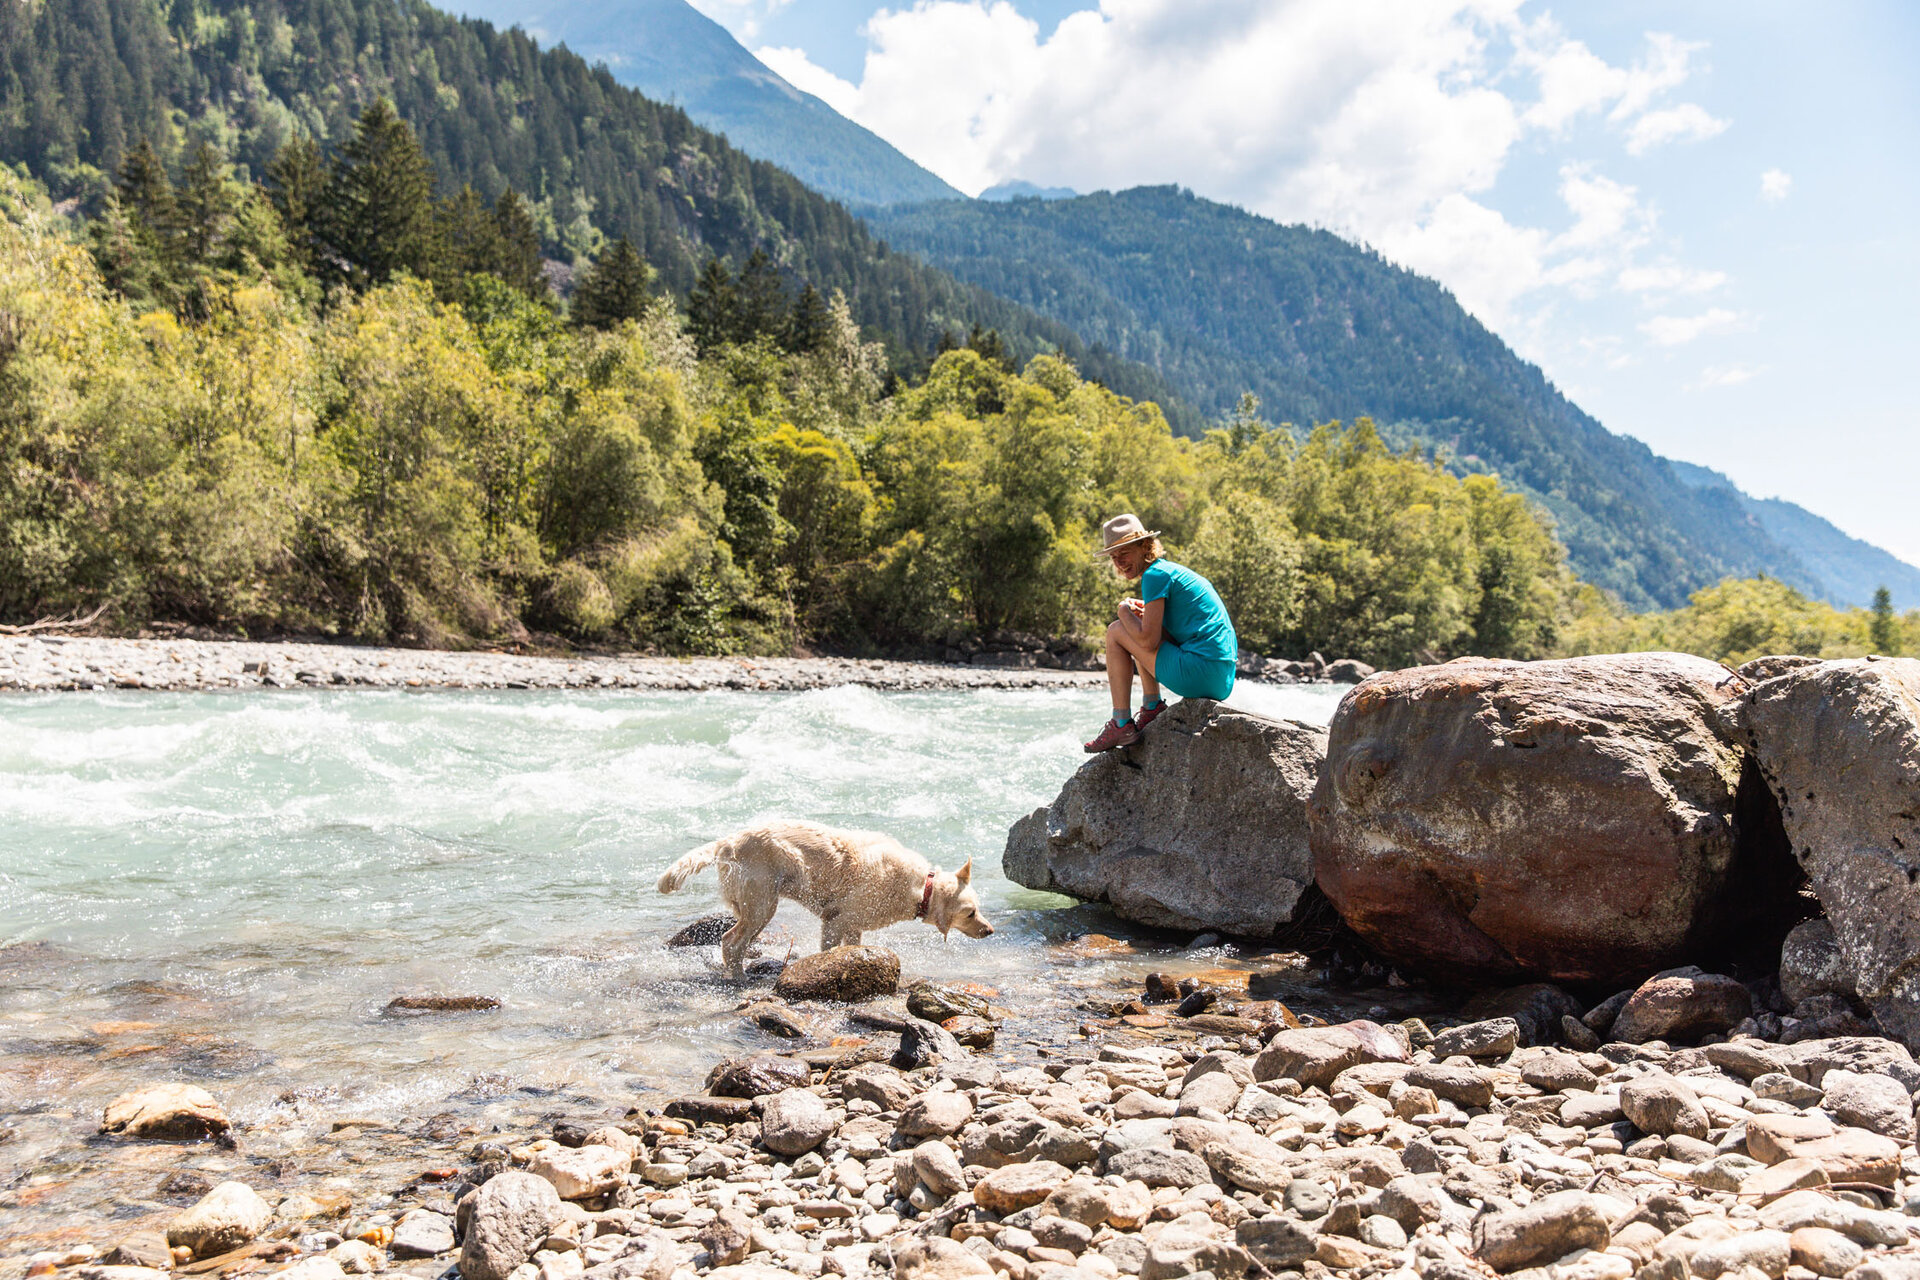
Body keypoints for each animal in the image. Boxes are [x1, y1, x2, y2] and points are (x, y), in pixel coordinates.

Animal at [656, 820, 995, 976]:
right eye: (970, 913)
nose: (991, 931)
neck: (921, 886)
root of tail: (728, 842)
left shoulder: (855, 926)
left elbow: (853, 948)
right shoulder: (836, 920)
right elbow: (828, 951)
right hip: (762, 904)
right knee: (731, 942)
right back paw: (739, 978)